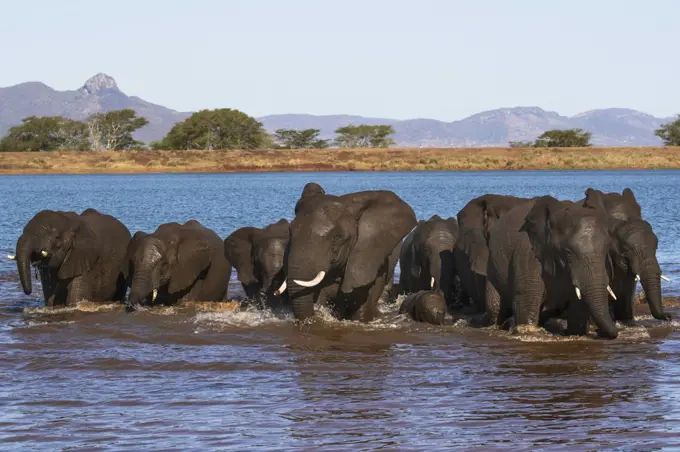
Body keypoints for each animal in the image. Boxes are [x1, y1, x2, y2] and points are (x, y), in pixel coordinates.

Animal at [484, 195, 620, 340]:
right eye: (568, 252)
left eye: (607, 248)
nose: (598, 332)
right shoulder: (529, 252)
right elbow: (526, 295)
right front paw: (527, 331)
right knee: (495, 305)